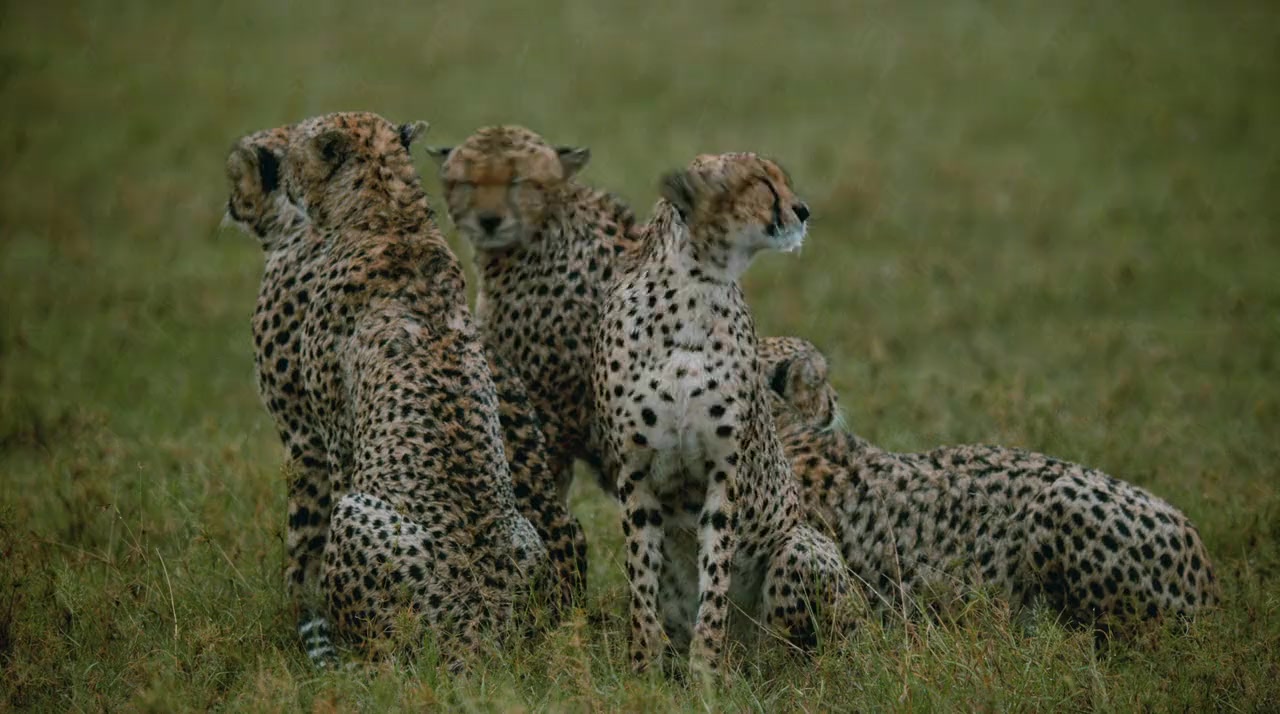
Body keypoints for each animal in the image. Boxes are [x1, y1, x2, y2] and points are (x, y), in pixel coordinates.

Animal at [224, 111, 567, 668]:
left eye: (294, 144)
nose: (233, 199)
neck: (391, 215)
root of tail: (478, 631)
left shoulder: (323, 434)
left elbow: (306, 539)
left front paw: (302, 616)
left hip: (358, 517)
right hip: (525, 535)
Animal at [593, 153, 854, 679]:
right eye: (760, 182)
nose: (803, 211)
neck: (693, 290)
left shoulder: (723, 474)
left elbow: (714, 582)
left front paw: (707, 674)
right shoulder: (635, 474)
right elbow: (641, 585)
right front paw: (643, 672)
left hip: (800, 548)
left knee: (788, 651)